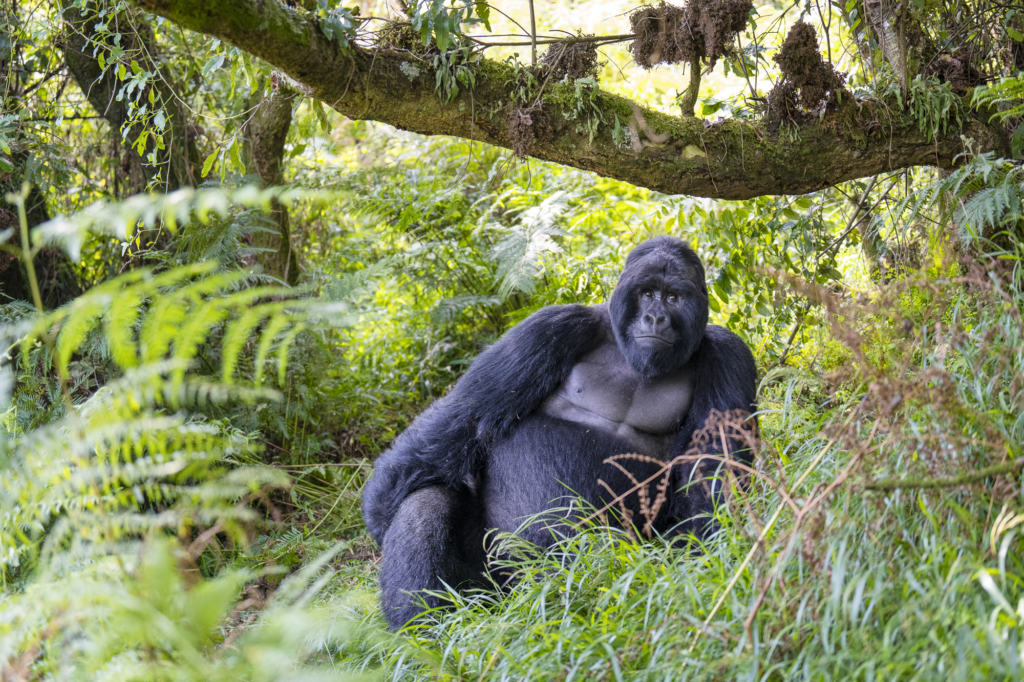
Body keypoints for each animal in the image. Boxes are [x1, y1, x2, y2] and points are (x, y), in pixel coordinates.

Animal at [364, 233, 757, 626]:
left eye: (673, 298)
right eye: (647, 293)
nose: (655, 318)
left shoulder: (728, 355)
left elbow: (713, 478)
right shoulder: (553, 326)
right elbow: (464, 419)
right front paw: (380, 516)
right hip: (493, 591)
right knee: (426, 501)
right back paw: (426, 628)